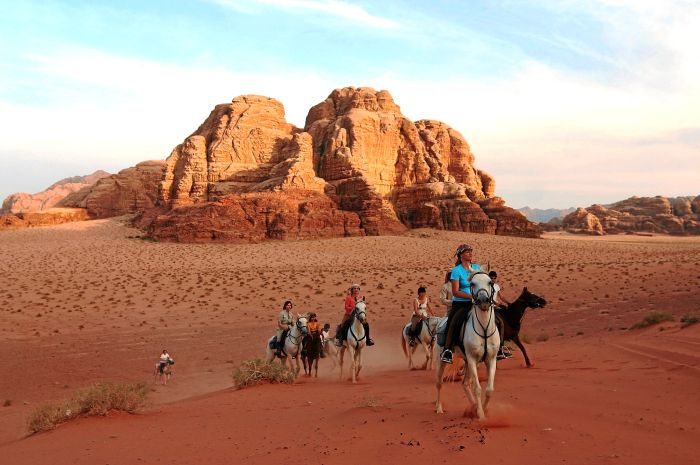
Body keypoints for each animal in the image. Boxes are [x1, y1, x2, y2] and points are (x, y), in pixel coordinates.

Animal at [434, 272, 500, 420]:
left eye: (490, 282)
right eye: (472, 284)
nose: (483, 300)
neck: (484, 329)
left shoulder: (490, 359)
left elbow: (489, 389)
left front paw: (482, 410)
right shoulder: (472, 358)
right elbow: (477, 388)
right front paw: (481, 415)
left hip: (467, 362)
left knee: (464, 384)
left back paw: (473, 407)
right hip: (443, 360)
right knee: (439, 382)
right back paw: (439, 408)